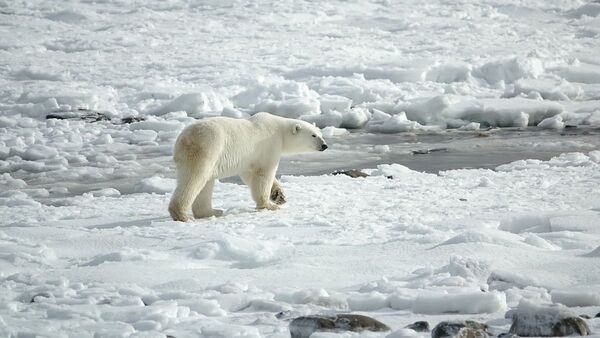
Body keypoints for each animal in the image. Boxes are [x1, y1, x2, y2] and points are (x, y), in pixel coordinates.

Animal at [168, 112, 328, 220]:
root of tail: (182, 139)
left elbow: (250, 175)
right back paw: (183, 215)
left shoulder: (249, 159)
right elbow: (263, 174)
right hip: (207, 148)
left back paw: (213, 211)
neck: (280, 131)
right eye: (313, 135)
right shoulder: (268, 146)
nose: (324, 145)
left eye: (320, 134)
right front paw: (270, 205)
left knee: (205, 183)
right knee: (194, 178)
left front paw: (279, 196)